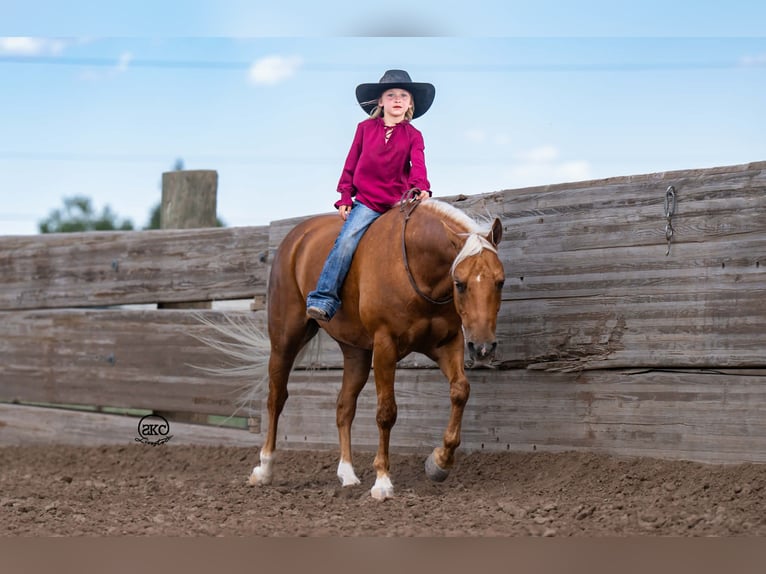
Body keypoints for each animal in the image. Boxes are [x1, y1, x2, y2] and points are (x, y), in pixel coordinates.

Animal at [220, 198, 504, 501]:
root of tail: (295, 240)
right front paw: (382, 481)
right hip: (285, 339)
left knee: (344, 406)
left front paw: (439, 463)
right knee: (276, 398)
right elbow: (386, 412)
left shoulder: (448, 343)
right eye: (459, 283)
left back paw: (347, 473)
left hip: (355, 352)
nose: (483, 347)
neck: (416, 267)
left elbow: (460, 391)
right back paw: (264, 469)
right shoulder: (384, 346)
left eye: (500, 281)